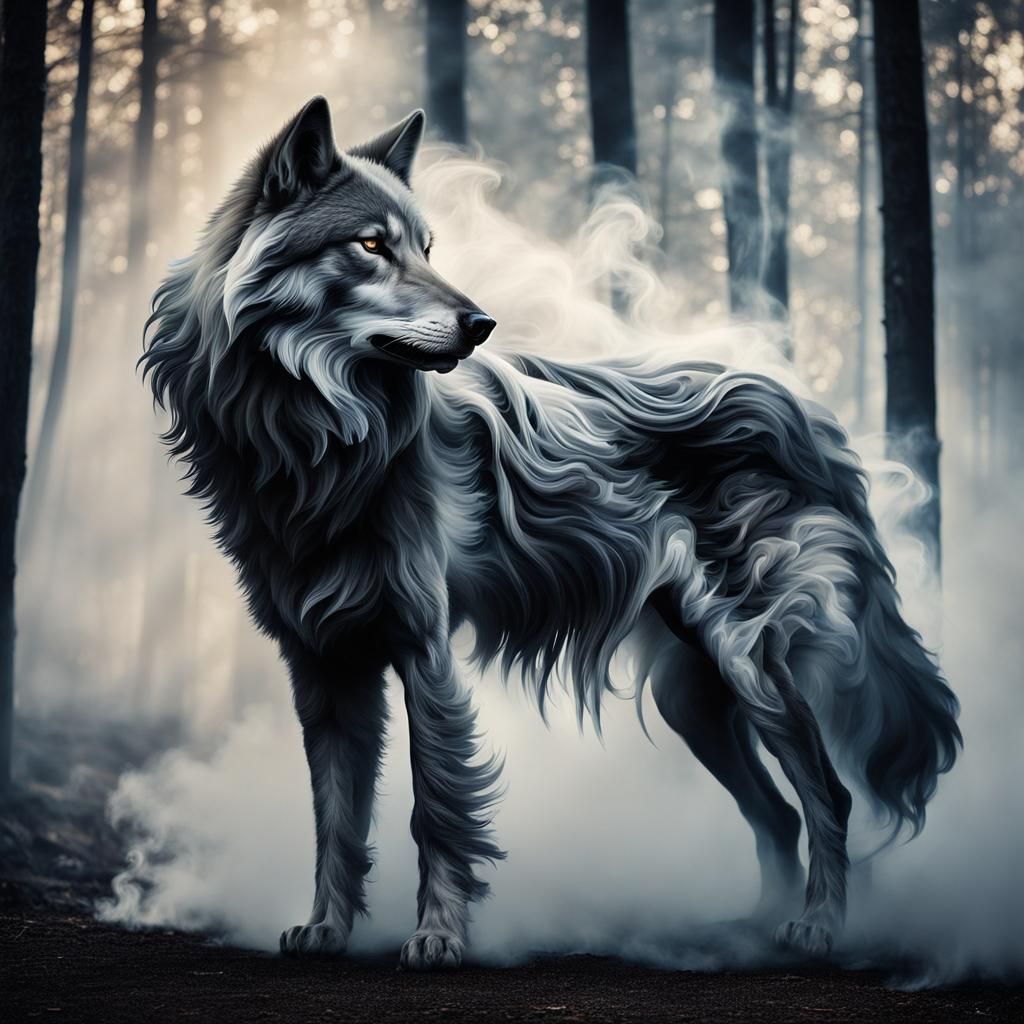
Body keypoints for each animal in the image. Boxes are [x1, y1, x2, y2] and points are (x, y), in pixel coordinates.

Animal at [142, 97, 960, 969]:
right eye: (370, 246)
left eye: (427, 247)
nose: (480, 322)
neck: (311, 438)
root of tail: (800, 407)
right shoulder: (322, 666)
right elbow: (336, 818)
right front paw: (326, 929)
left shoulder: (423, 650)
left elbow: (434, 808)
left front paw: (437, 936)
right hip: (693, 700)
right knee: (775, 813)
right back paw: (748, 932)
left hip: (747, 667)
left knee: (828, 793)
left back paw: (818, 929)